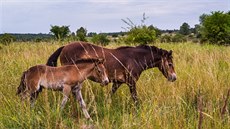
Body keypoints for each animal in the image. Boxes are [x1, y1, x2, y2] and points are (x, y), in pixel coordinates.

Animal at [46, 41, 176, 105]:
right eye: (170, 64)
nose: (174, 77)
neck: (135, 58)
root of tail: (64, 47)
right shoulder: (131, 83)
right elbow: (135, 98)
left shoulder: (117, 82)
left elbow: (110, 95)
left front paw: (106, 105)